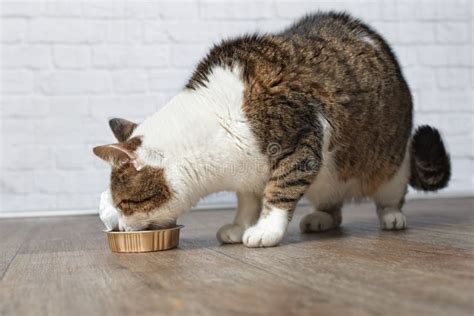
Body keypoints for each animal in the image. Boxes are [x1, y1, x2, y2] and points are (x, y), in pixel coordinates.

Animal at [93, 12, 452, 247]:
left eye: (124, 204)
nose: (120, 229)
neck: (216, 122)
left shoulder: (302, 141)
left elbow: (279, 191)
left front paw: (265, 230)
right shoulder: (247, 172)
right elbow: (248, 202)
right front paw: (240, 226)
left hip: (390, 163)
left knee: (390, 195)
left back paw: (392, 217)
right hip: (328, 182)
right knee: (333, 208)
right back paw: (321, 218)